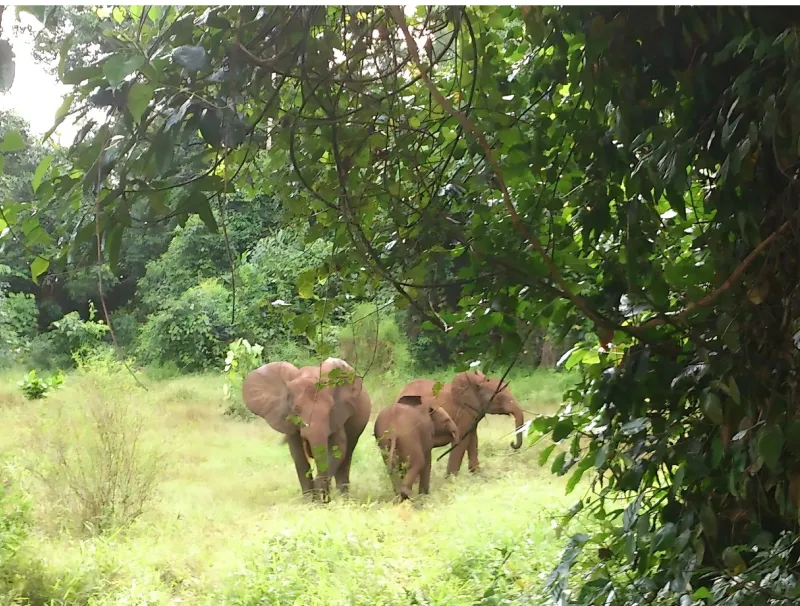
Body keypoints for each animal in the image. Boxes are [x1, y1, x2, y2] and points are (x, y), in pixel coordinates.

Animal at [241, 356, 372, 504]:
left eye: (330, 409)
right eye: (296, 409)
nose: (324, 498)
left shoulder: (338, 415)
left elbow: (338, 448)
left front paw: (319, 497)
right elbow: (298, 455)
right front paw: (310, 501)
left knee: (347, 456)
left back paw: (344, 499)